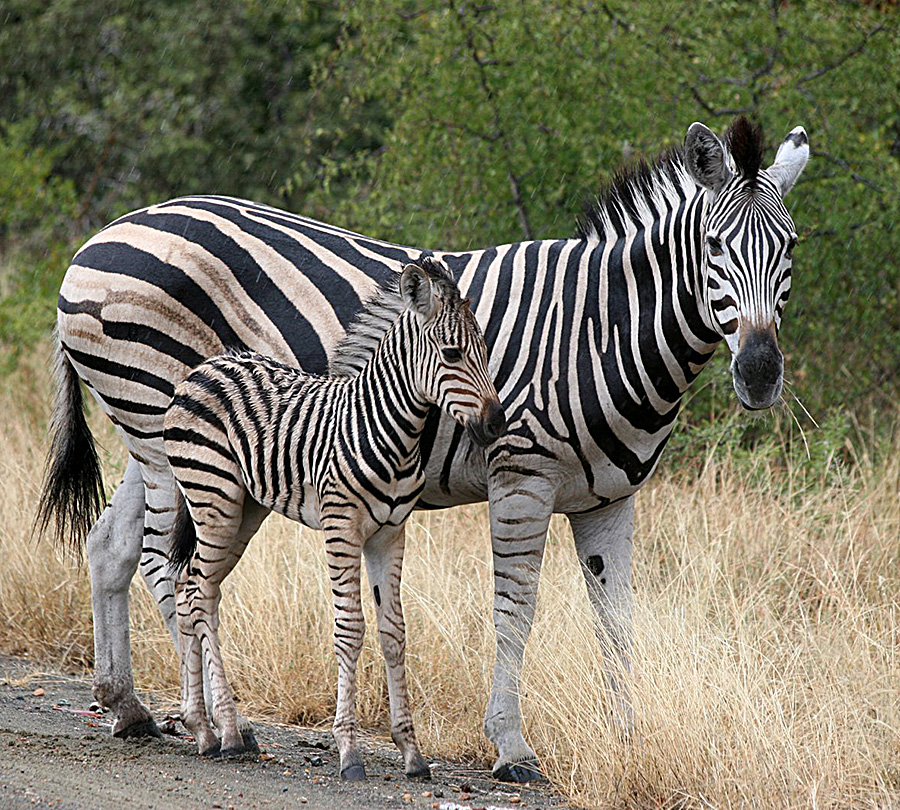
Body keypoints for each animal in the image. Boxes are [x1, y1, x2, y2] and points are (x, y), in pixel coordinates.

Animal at [165, 257, 503, 777]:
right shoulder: (342, 526)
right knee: (200, 595)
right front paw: (348, 750)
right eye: (451, 354)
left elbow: (394, 632)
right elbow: (351, 629)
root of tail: (205, 366)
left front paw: (411, 752)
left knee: (192, 591)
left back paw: (200, 726)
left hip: (243, 510)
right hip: (212, 496)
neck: (391, 432)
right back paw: (227, 732)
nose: (496, 424)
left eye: (484, 352)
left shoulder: (391, 534)